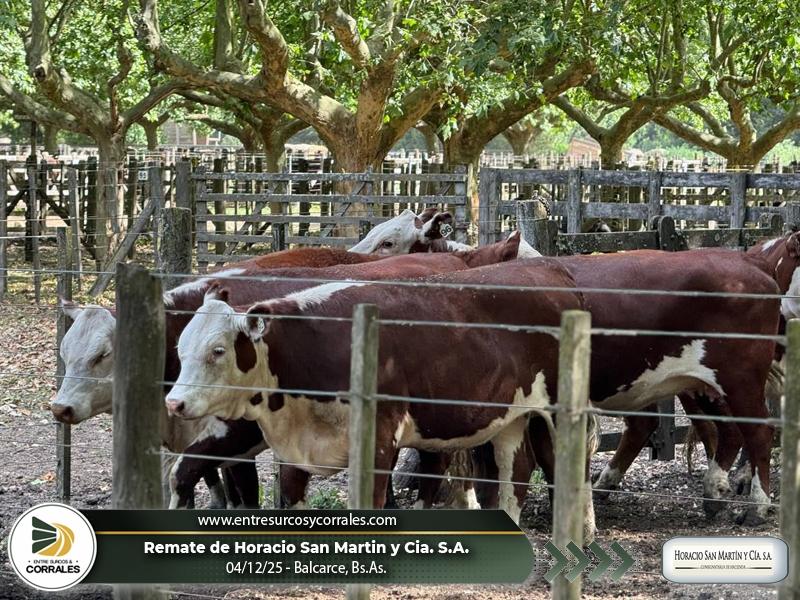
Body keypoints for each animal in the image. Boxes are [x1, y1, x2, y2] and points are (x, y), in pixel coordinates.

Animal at [164, 259, 583, 523]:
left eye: (218, 350)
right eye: (180, 346)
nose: (174, 402)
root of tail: (552, 270)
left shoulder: (380, 438)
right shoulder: (296, 445)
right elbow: (291, 498)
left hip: (559, 410)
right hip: (511, 415)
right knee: (518, 471)